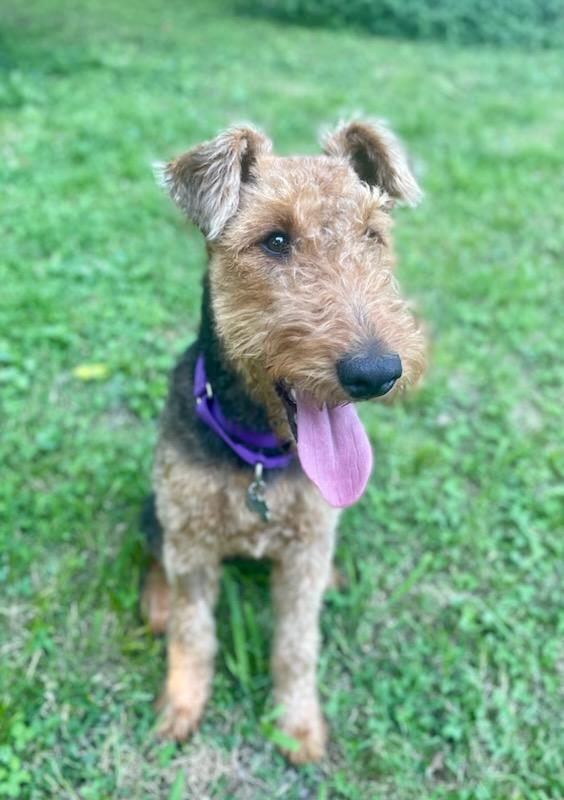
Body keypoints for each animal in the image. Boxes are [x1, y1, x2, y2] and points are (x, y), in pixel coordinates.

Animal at [142, 119, 428, 764]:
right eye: (274, 240)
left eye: (373, 234)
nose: (377, 372)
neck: (257, 454)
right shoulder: (190, 541)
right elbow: (194, 636)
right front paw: (180, 710)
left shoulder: (304, 551)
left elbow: (297, 647)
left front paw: (297, 727)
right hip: (157, 510)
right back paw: (157, 603)